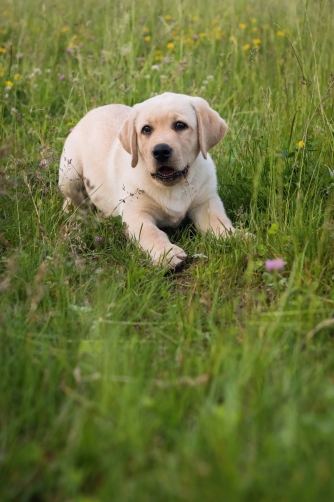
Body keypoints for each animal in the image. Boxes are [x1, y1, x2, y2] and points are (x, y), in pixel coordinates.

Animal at [58, 92, 235, 268]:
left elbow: (218, 221)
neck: (172, 186)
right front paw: (166, 253)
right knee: (72, 198)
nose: (161, 151)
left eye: (180, 125)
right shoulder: (135, 213)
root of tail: (92, 112)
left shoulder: (207, 202)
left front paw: (233, 237)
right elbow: (151, 232)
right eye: (146, 129)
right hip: (70, 174)